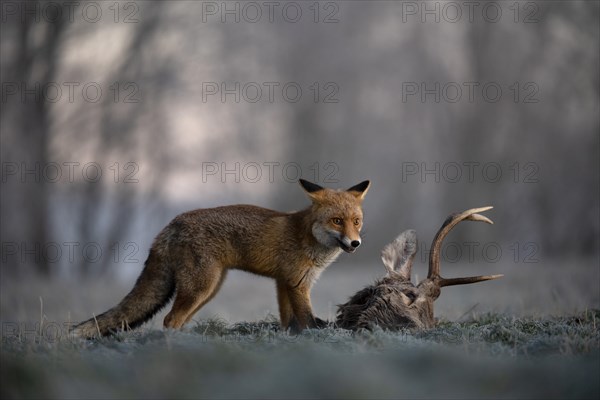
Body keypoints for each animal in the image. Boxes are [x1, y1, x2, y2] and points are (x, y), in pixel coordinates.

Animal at [72, 180, 368, 336]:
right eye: (337, 221)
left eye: (356, 222)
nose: (356, 243)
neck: (307, 237)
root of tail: (172, 223)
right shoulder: (298, 283)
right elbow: (306, 320)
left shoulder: (283, 282)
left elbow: (287, 320)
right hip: (201, 287)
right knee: (169, 321)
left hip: (208, 290)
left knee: (177, 321)